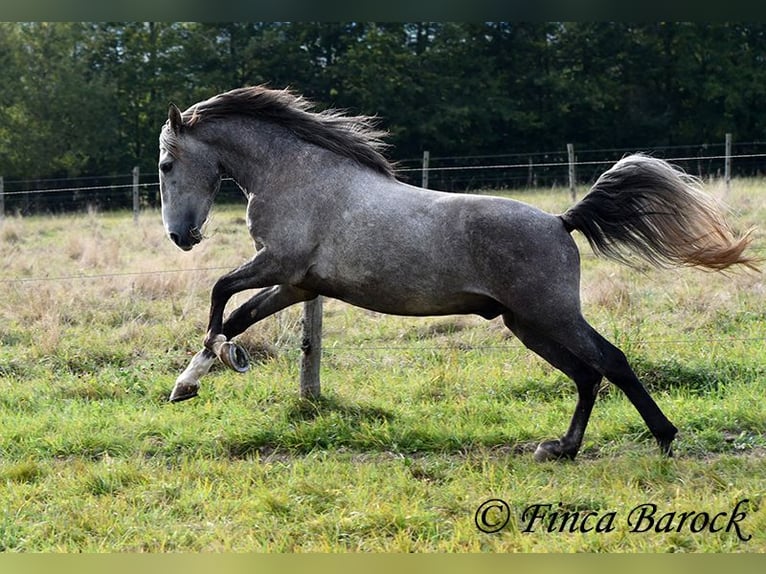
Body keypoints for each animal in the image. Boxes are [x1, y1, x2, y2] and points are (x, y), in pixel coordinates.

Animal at [158, 86, 756, 464]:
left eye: (165, 164)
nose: (181, 236)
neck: (296, 175)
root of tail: (561, 221)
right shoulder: (296, 283)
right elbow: (236, 315)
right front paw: (188, 383)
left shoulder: (278, 265)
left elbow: (219, 296)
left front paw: (213, 362)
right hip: (525, 323)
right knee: (586, 375)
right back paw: (560, 450)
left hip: (550, 313)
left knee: (610, 361)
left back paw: (663, 439)